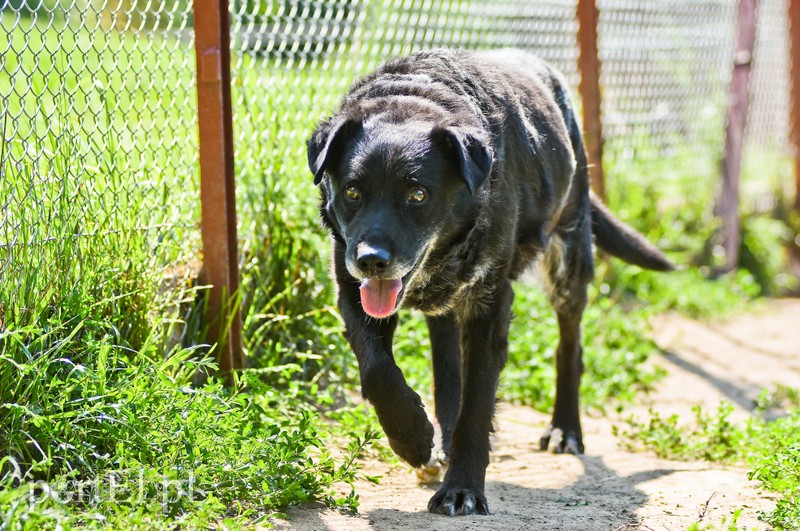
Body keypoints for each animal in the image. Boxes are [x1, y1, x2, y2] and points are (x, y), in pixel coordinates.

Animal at [310, 48, 672, 516]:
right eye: (353, 192)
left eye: (418, 194)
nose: (371, 261)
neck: (418, 95)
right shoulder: (350, 289)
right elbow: (377, 372)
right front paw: (413, 439)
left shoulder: (489, 305)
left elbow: (477, 405)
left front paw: (462, 488)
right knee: (447, 369)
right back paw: (438, 444)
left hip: (568, 261)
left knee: (569, 347)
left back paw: (565, 430)